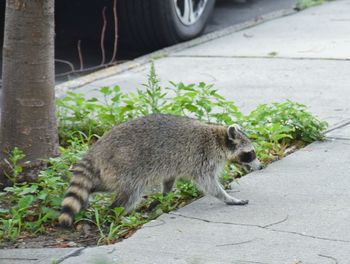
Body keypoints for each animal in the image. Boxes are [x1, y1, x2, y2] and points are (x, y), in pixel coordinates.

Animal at [58, 113, 262, 227]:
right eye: (250, 153)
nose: (260, 166)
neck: (218, 139)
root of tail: (96, 151)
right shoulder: (201, 158)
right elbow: (208, 184)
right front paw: (227, 198)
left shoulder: (175, 163)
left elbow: (169, 179)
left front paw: (165, 197)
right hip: (125, 166)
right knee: (131, 193)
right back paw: (117, 213)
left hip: (110, 172)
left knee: (102, 185)